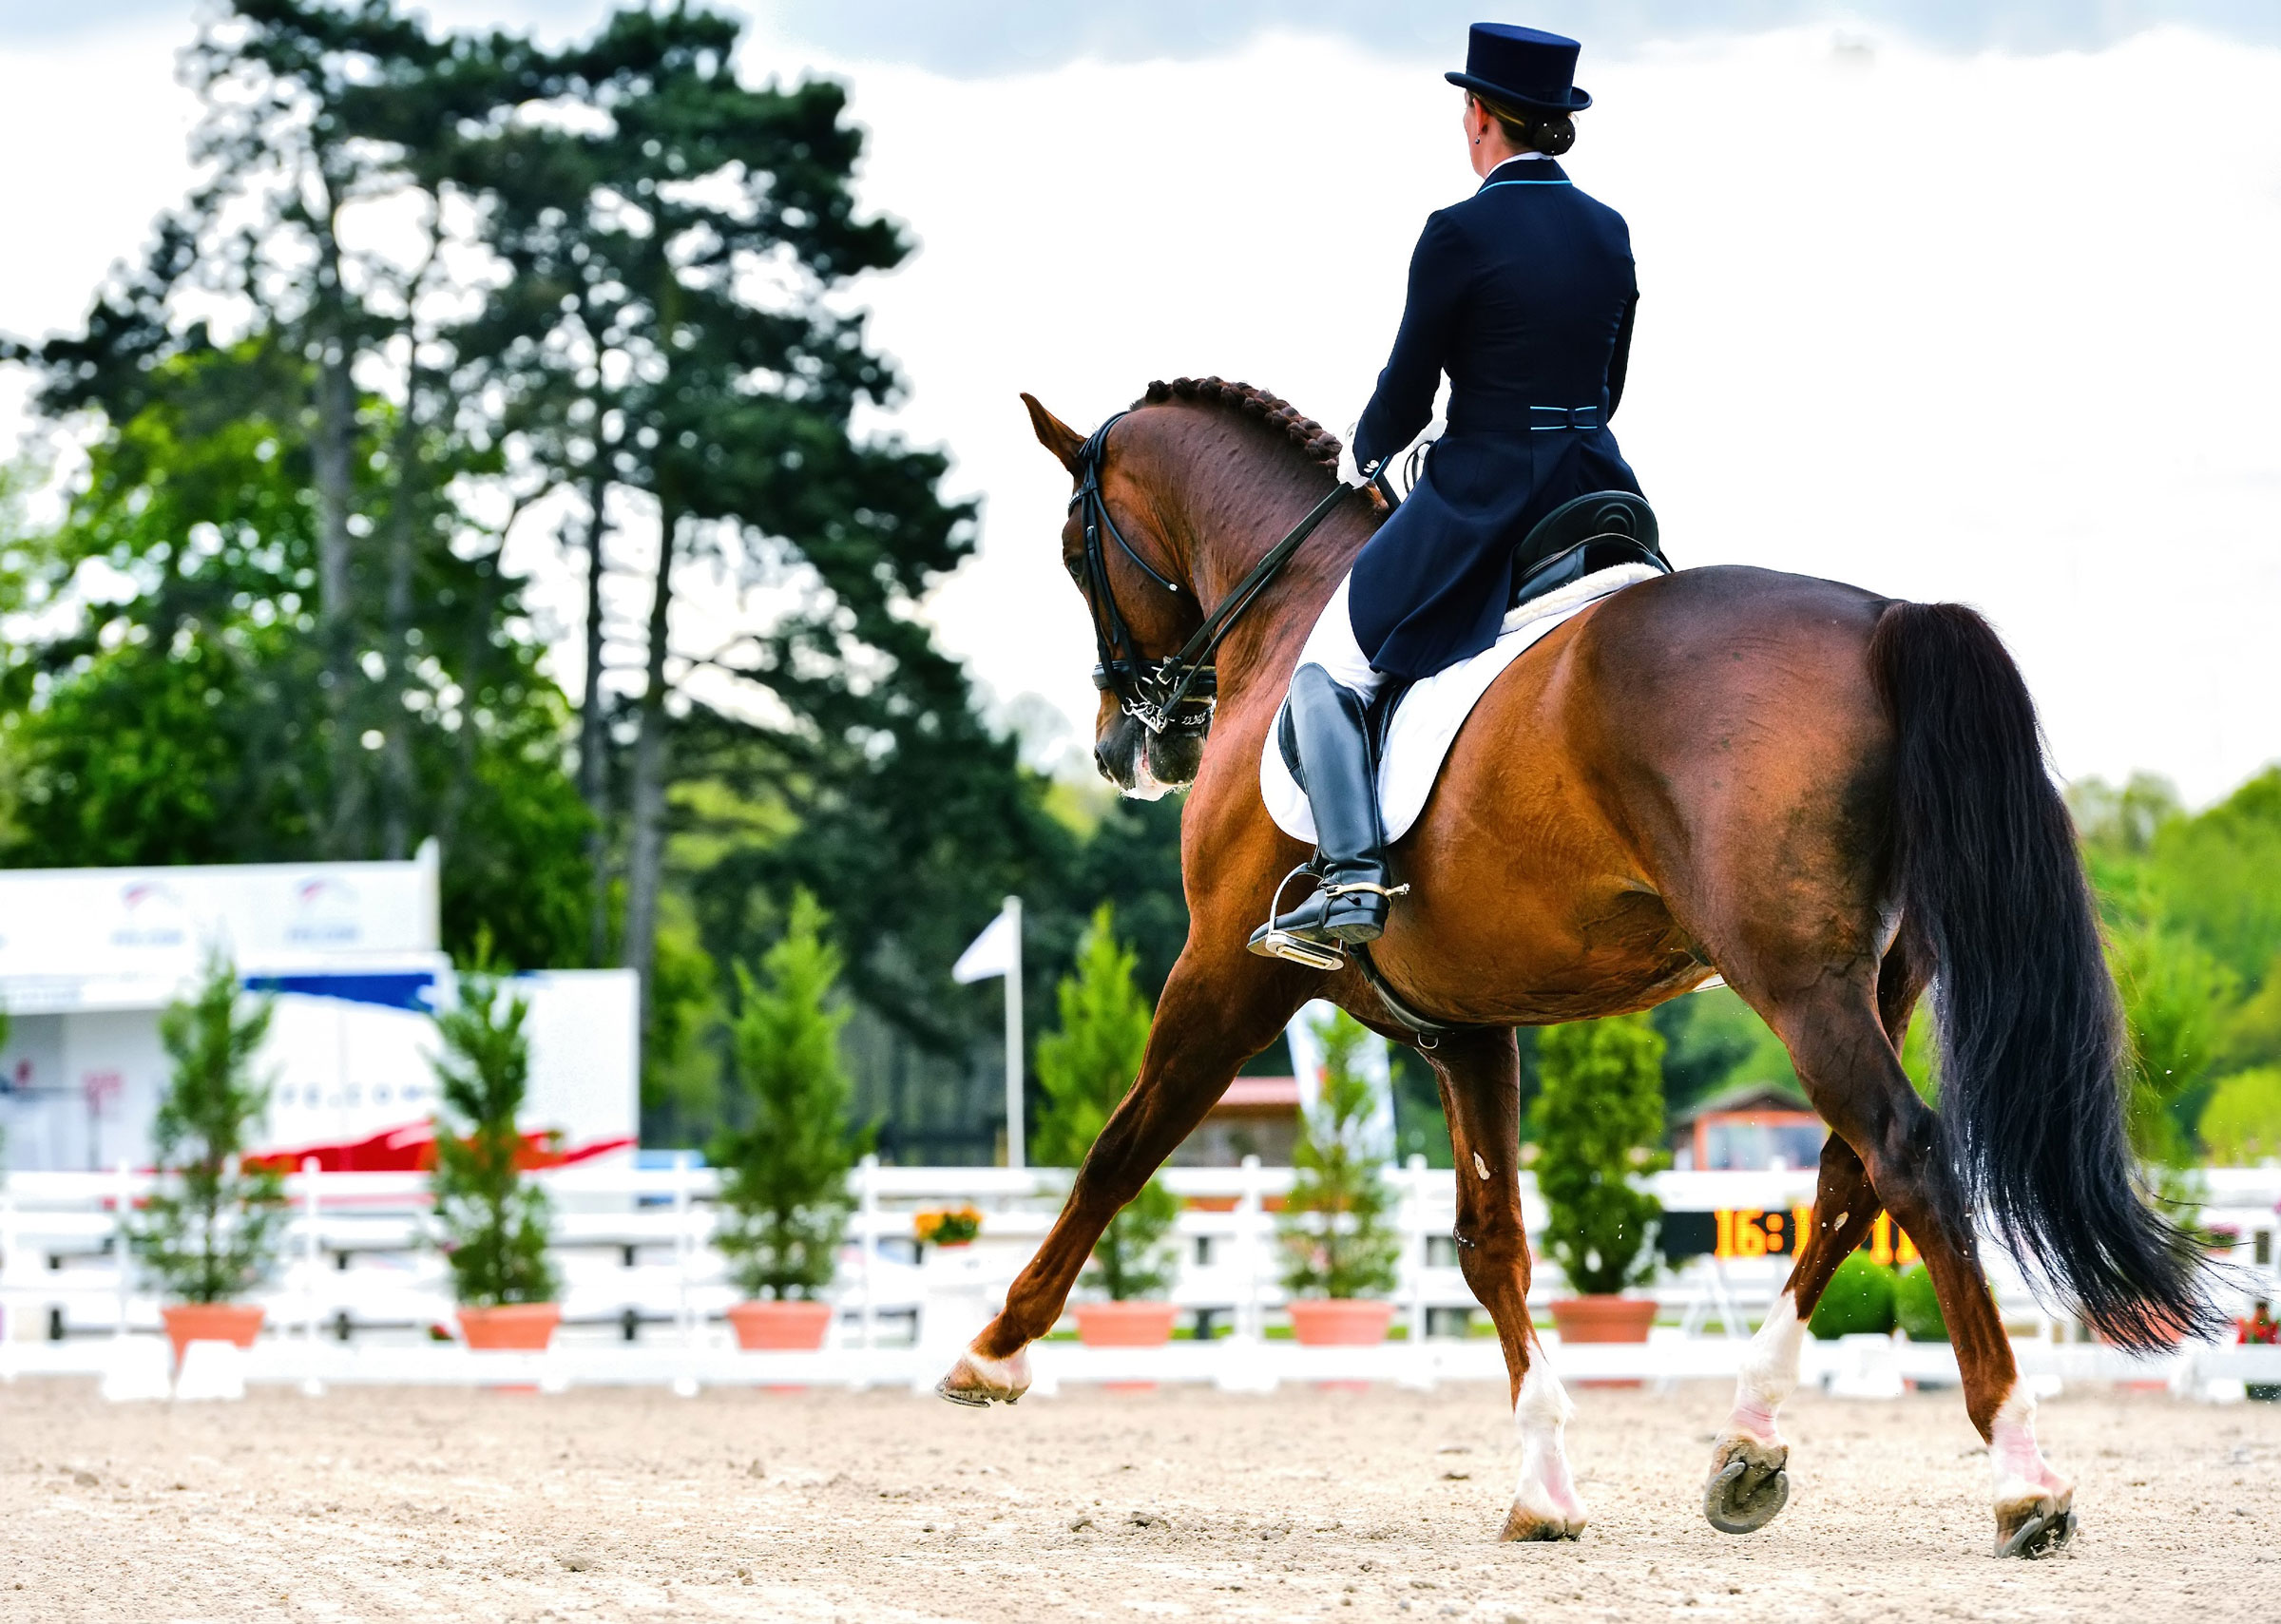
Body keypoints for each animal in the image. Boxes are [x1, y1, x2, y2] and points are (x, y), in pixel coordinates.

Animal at [936, 375, 2216, 1557]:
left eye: (1074, 550)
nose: (1124, 747)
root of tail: (1885, 621)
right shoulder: (1462, 1025)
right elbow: (1489, 1239)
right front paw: (1543, 1484)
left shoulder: (1225, 974)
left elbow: (1117, 1150)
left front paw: (993, 1351)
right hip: (1876, 979)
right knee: (1849, 1180)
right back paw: (1748, 1442)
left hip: (1795, 981)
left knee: (1907, 1156)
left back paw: (2022, 1474)